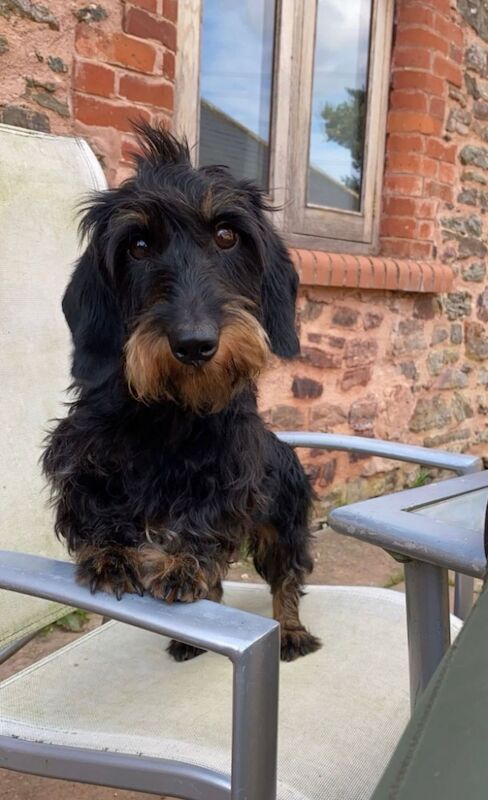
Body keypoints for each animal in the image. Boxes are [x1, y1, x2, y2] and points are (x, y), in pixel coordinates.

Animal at [42, 123, 320, 664]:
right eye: (138, 244)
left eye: (227, 235)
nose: (194, 344)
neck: (171, 409)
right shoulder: (81, 454)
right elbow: (96, 507)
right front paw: (111, 554)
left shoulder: (231, 473)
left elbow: (203, 518)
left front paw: (182, 561)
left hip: (285, 525)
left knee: (287, 579)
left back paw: (292, 630)